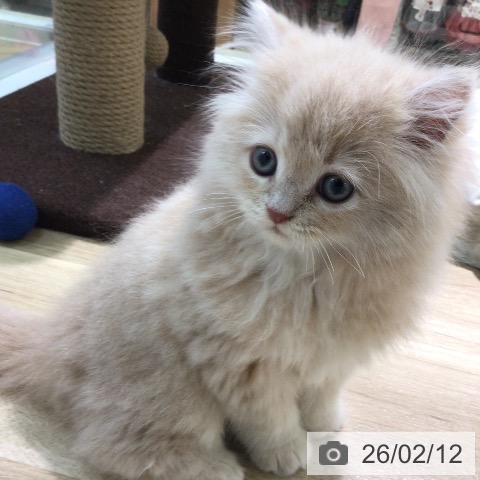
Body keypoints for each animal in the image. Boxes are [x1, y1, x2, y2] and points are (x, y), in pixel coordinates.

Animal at [0, 1, 477, 479]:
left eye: (336, 188)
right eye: (264, 160)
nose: (277, 213)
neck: (315, 279)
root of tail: (49, 346)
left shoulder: (332, 360)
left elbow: (321, 398)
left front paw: (325, 427)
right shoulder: (242, 364)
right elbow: (271, 419)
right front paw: (288, 455)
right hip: (173, 397)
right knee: (118, 447)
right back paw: (218, 467)